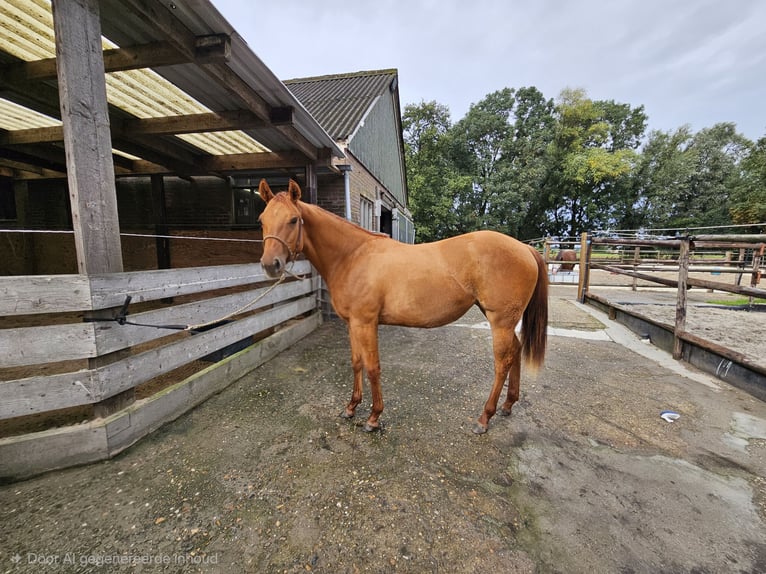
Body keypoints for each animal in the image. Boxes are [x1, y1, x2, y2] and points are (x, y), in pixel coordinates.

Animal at [258, 179, 548, 434]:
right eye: (262, 219)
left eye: (293, 220)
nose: (270, 265)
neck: (352, 256)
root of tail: (524, 248)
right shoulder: (353, 324)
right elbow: (356, 363)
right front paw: (351, 407)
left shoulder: (366, 322)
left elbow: (372, 367)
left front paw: (374, 417)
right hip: (503, 320)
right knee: (516, 351)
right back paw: (508, 405)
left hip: (500, 321)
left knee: (502, 362)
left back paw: (484, 418)